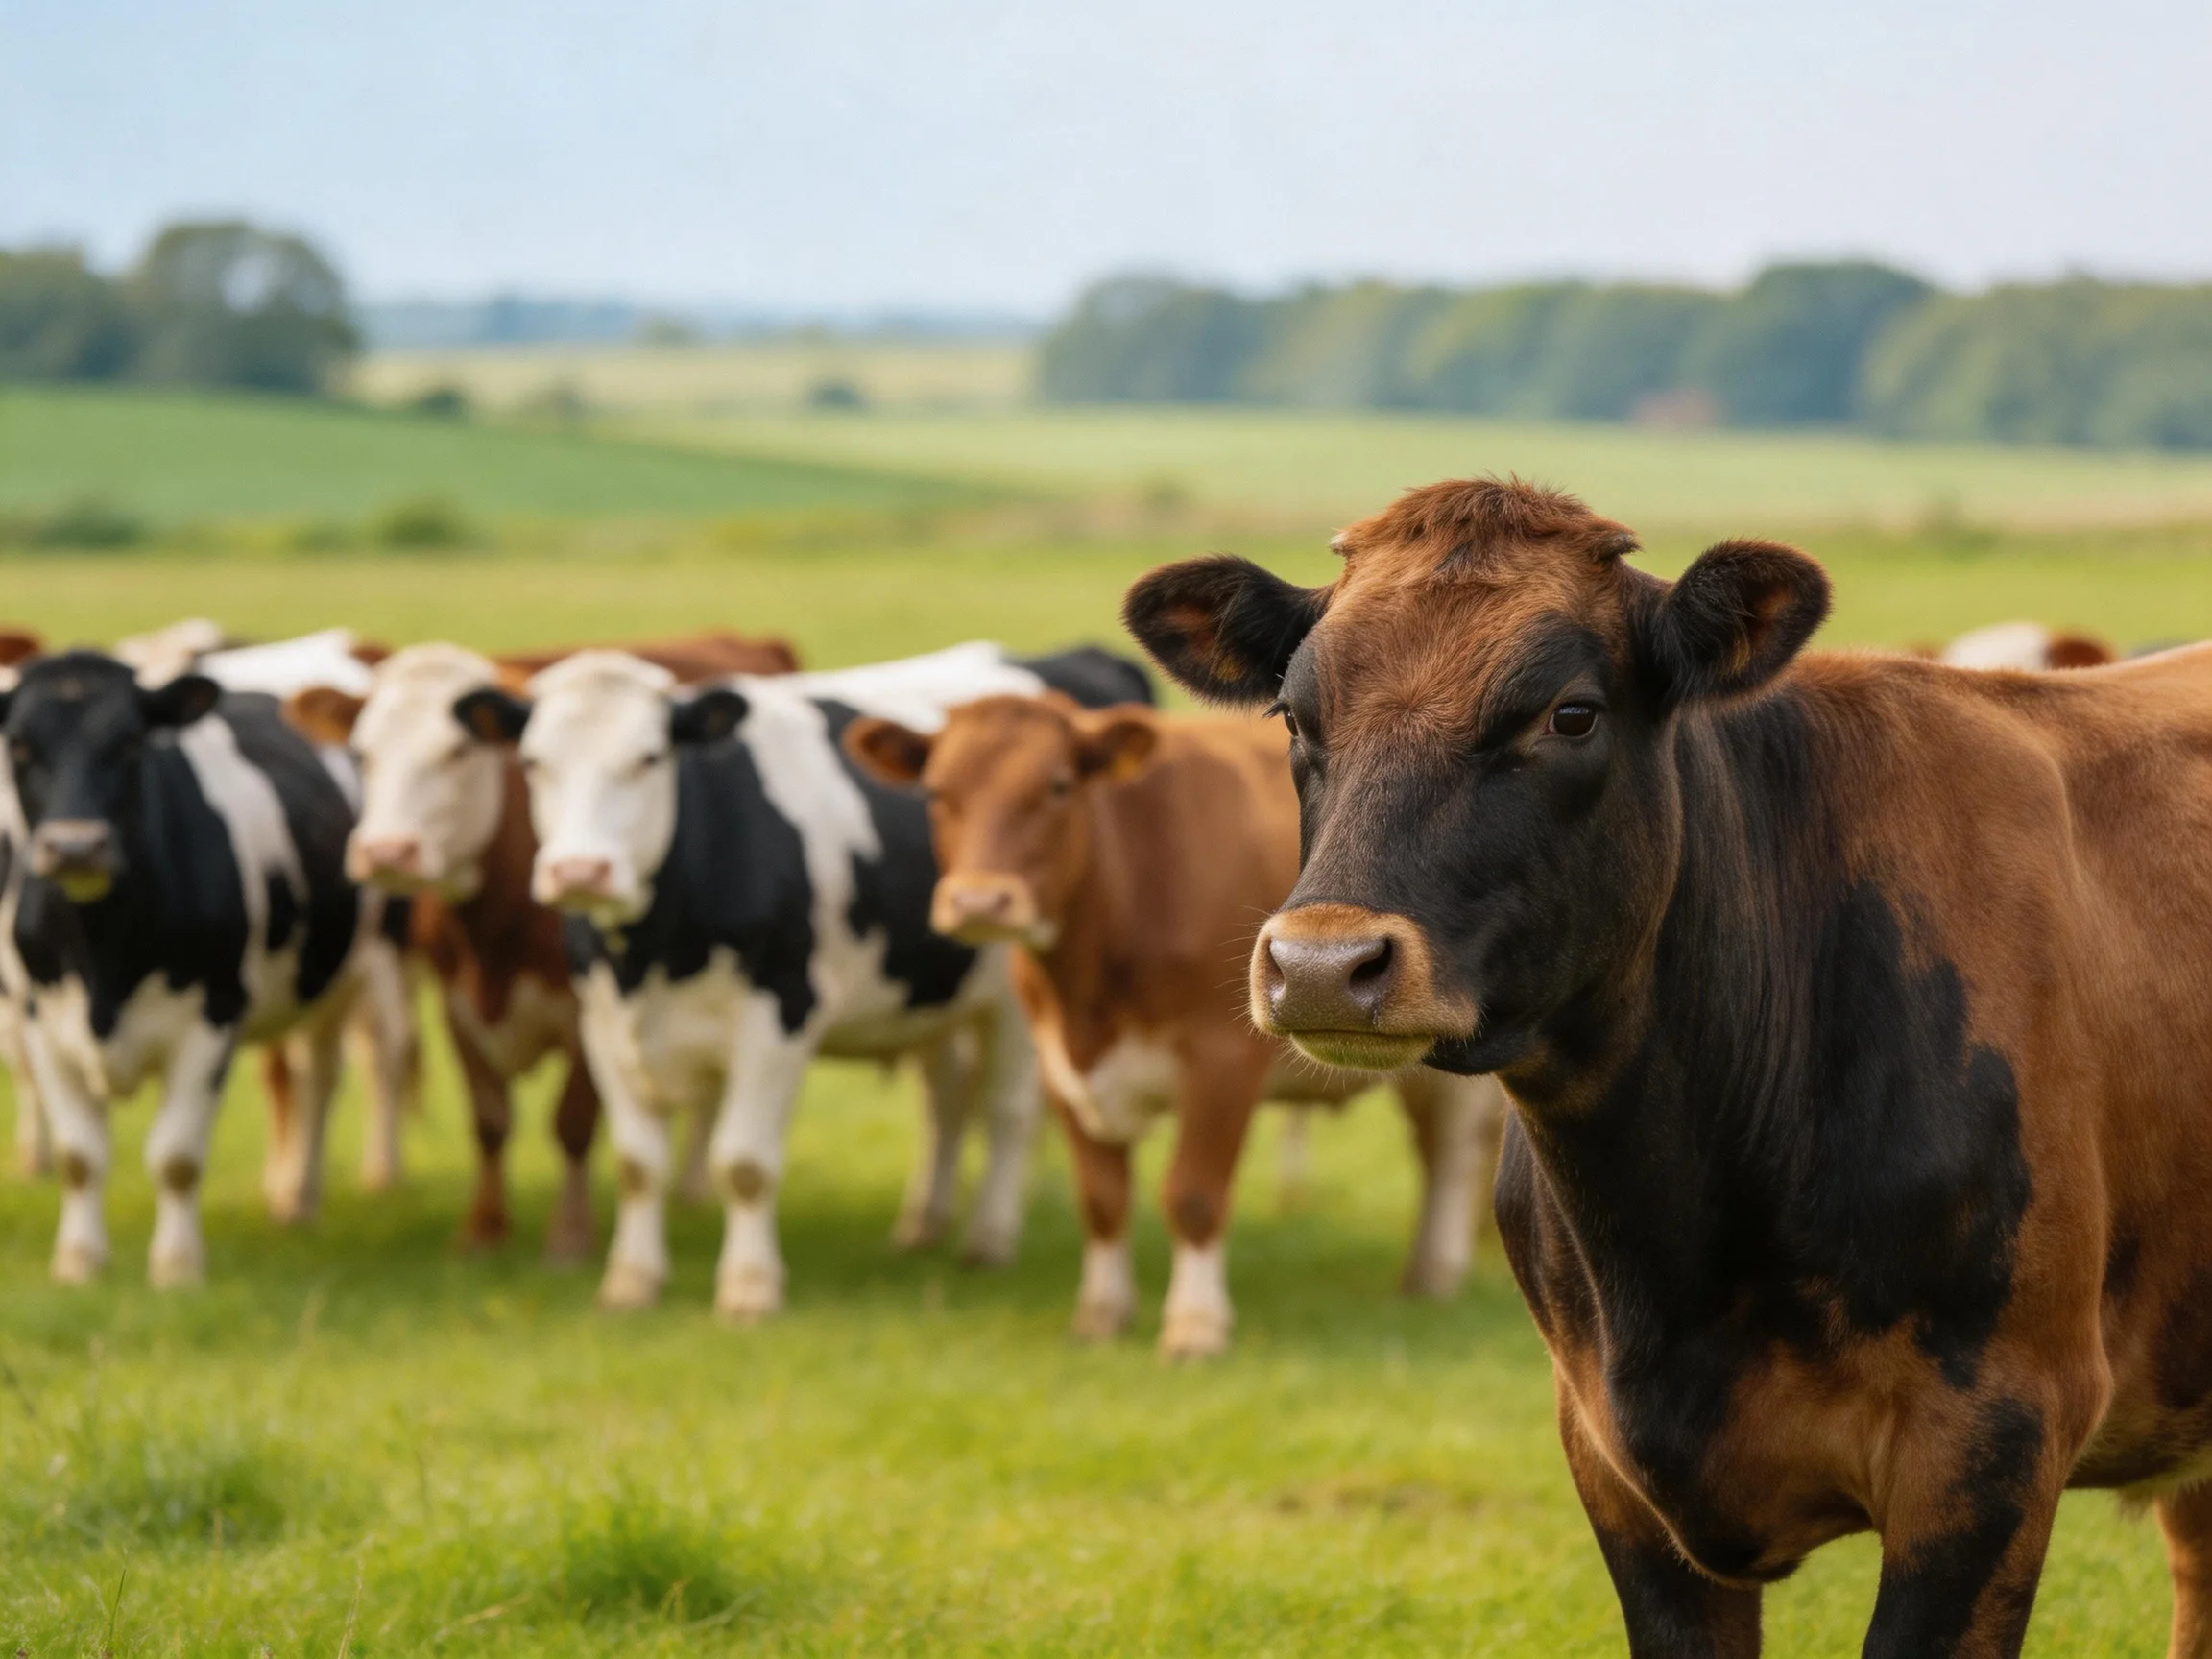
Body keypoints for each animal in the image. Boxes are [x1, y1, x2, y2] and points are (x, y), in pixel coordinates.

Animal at [0, 651, 388, 1285]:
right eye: (20, 746)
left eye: (132, 742)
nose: (76, 847)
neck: (103, 956)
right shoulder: (41, 1020)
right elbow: (78, 1155)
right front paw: (79, 1262)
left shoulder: (213, 1017)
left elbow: (176, 1156)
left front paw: (177, 1269)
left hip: (347, 976)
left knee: (320, 1082)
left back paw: (299, 1199)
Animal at [279, 631, 807, 1261]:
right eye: (363, 754)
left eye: (458, 751)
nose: (386, 852)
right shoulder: (458, 1003)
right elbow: (489, 1118)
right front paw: (484, 1228)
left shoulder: (588, 1010)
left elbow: (571, 1122)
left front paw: (570, 1237)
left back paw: (693, 1189)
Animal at [461, 642, 1151, 1318]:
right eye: (532, 762)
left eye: (650, 758)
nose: (580, 870)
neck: (652, 951)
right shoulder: (602, 1023)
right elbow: (638, 1165)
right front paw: (631, 1282)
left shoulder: (779, 1016)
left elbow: (743, 1162)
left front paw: (749, 1288)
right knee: (946, 1102)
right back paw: (923, 1225)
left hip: (1009, 1001)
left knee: (1006, 1111)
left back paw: (988, 1239)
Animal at [843, 692, 1504, 1357]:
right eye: (935, 792)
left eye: (1058, 786)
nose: (980, 902)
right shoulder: (1060, 1066)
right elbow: (1102, 1197)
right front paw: (1101, 1315)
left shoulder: (1222, 1061)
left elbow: (1193, 1193)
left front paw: (1195, 1324)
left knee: (1454, 1146)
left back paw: (1436, 1273)